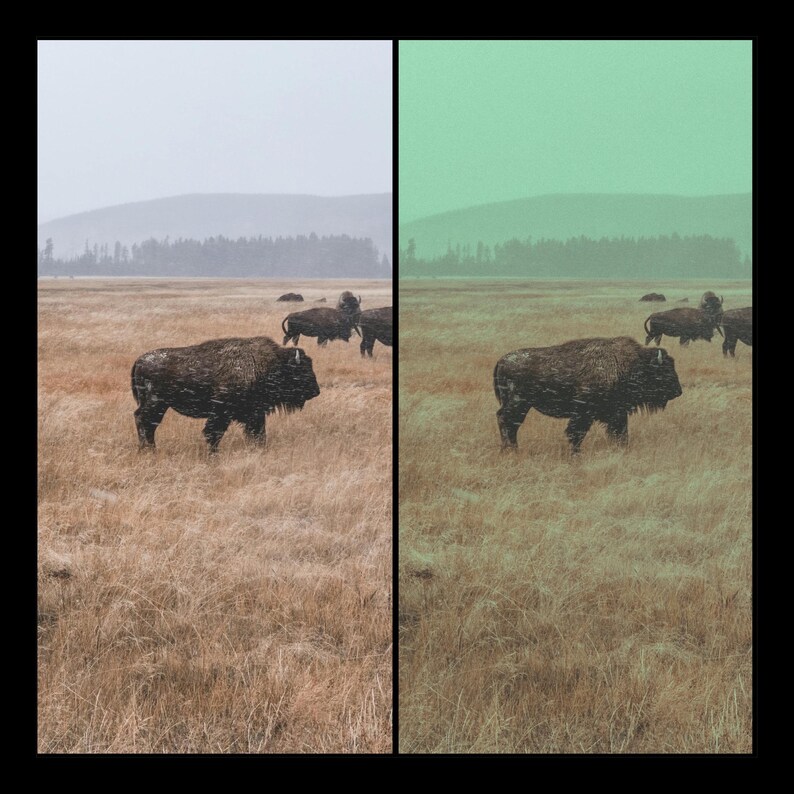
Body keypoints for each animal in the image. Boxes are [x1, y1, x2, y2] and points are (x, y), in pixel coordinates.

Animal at [131, 336, 320, 453]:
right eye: (301, 370)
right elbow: (214, 433)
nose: (316, 391)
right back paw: (148, 450)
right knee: (144, 421)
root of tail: (139, 361)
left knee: (148, 424)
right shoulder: (221, 413)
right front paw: (213, 456)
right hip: (156, 403)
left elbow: (259, 433)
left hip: (159, 405)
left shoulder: (254, 413)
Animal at [494, 337, 682, 453]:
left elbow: (621, 433)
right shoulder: (583, 413)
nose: (678, 391)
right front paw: (576, 455)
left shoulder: (617, 413)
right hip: (518, 403)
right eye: (664, 370)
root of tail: (501, 361)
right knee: (507, 421)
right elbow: (576, 434)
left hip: (520, 405)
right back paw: (509, 449)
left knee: (510, 423)